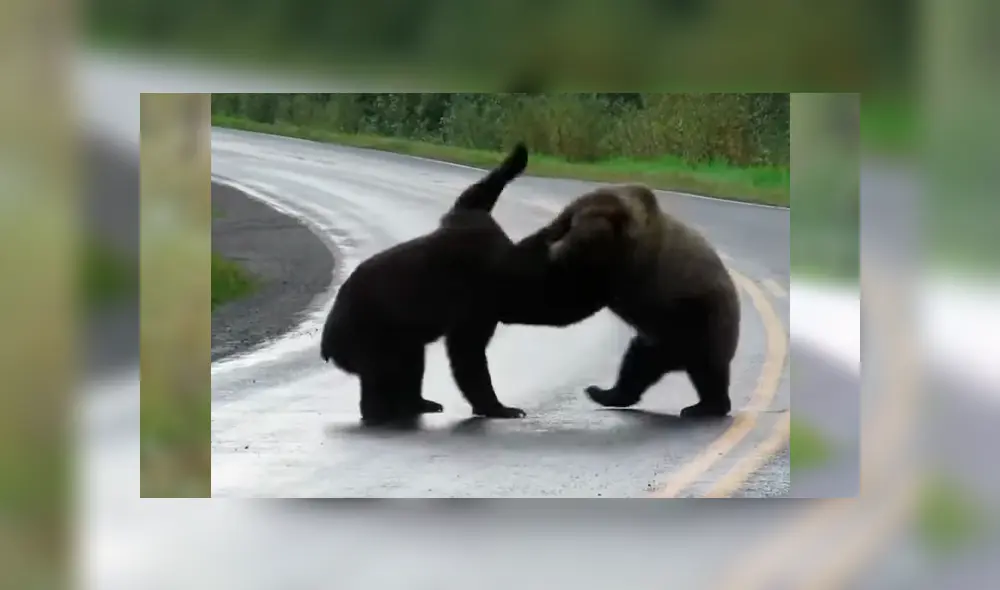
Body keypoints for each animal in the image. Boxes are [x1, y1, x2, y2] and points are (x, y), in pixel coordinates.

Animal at [319, 142, 599, 426]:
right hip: (371, 332)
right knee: (384, 370)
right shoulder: (475, 300)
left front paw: (514, 160)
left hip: (395, 334)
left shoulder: (470, 227)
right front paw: (501, 407)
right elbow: (468, 354)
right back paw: (382, 412)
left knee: (411, 361)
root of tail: (327, 344)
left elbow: (473, 197)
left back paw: (420, 402)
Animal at [518, 183, 742, 418]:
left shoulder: (620, 261)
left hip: (700, 319)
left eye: (574, 239)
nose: (557, 251)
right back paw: (603, 393)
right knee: (637, 365)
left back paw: (705, 406)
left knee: (707, 367)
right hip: (659, 338)